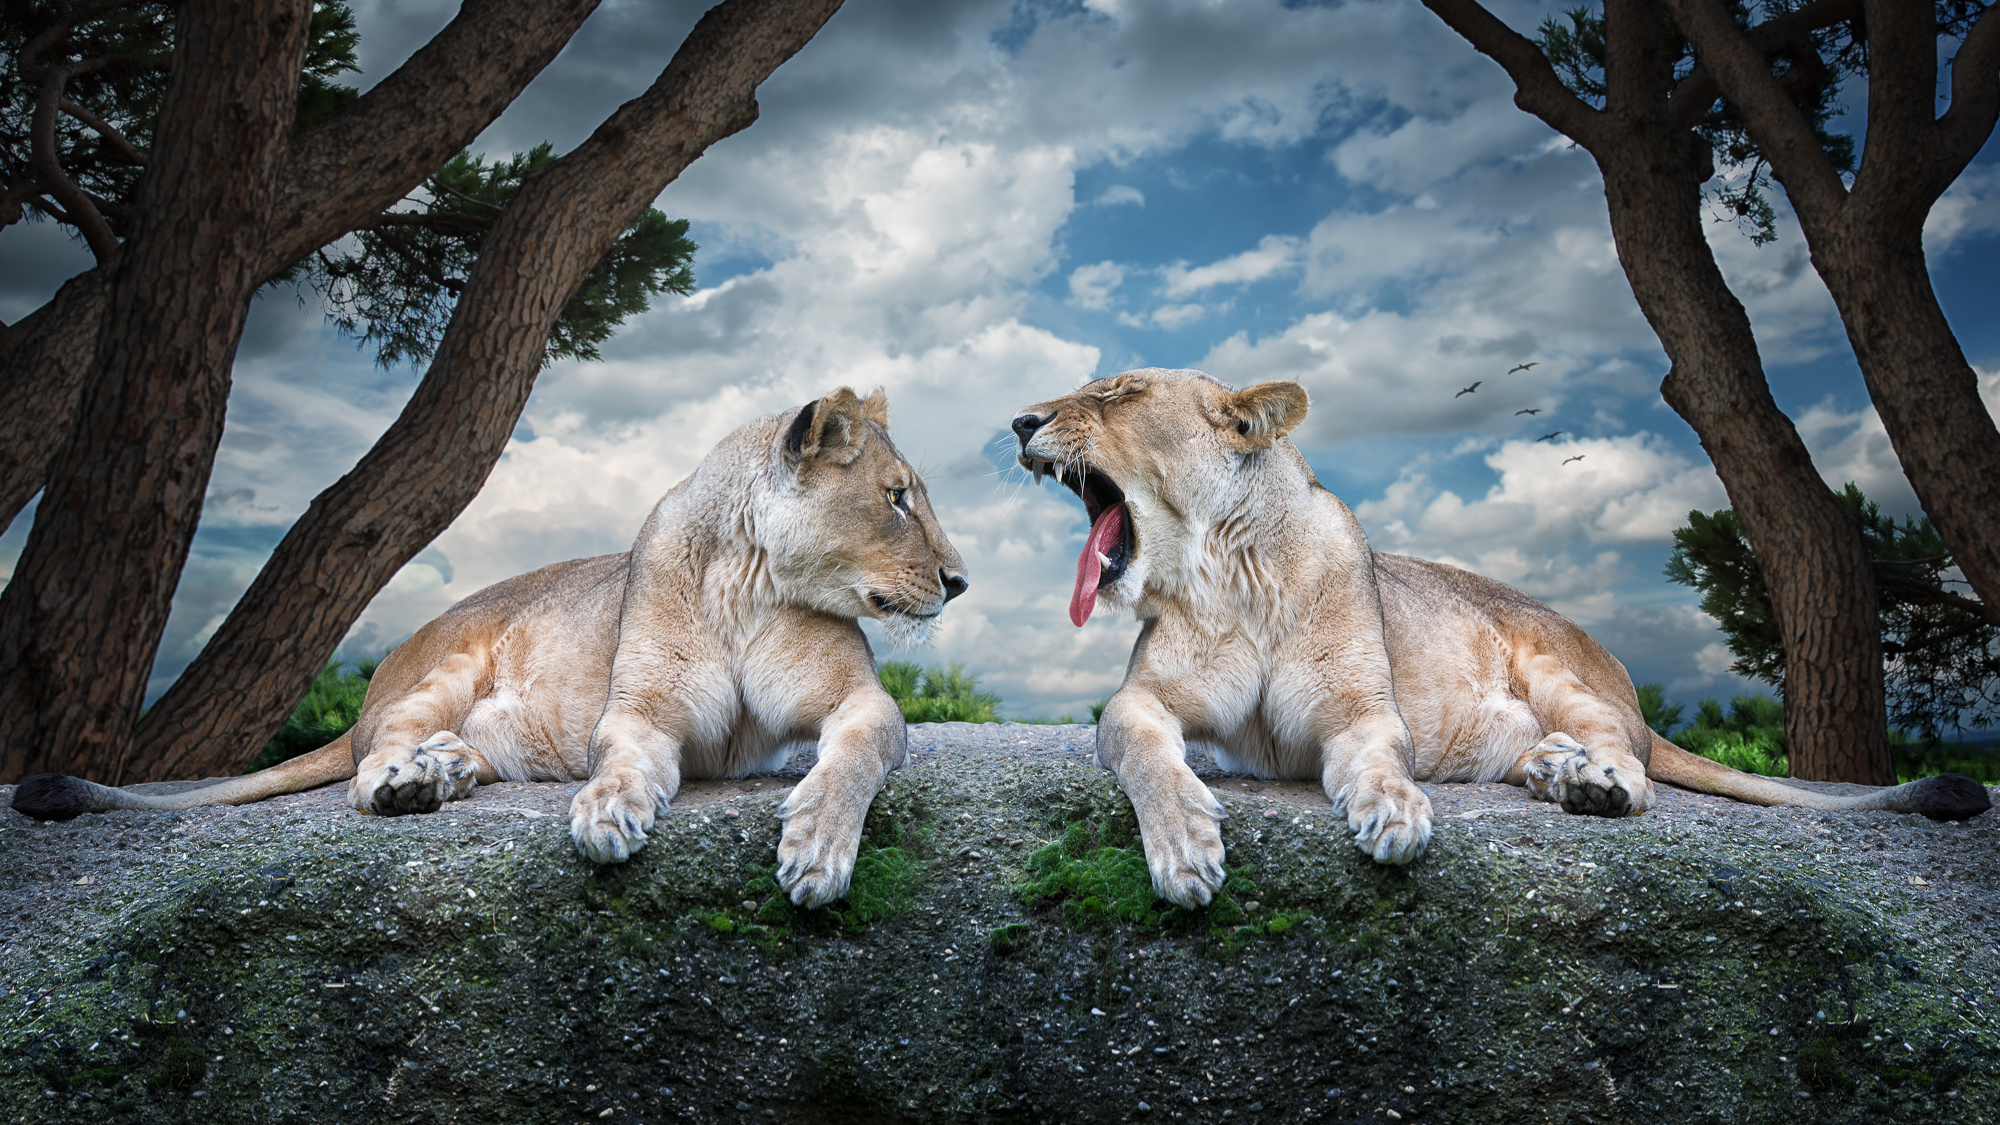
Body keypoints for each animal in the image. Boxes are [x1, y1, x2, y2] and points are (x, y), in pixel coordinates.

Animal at [12, 387, 968, 907]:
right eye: (896, 498)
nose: (959, 581)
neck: (749, 582)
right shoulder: (642, 713)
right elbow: (620, 759)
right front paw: (606, 811)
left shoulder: (859, 701)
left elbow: (853, 757)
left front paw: (817, 848)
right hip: (447, 664)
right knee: (372, 759)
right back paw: (408, 779)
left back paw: (446, 770)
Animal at [1011, 368, 1988, 908]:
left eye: (1115, 394)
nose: (1019, 421)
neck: (1229, 567)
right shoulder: (1143, 704)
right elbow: (1148, 756)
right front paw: (1184, 843)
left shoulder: (1361, 712)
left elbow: (1380, 759)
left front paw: (1395, 811)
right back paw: (1559, 772)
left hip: (1555, 661)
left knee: (1628, 757)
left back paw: (1594, 780)